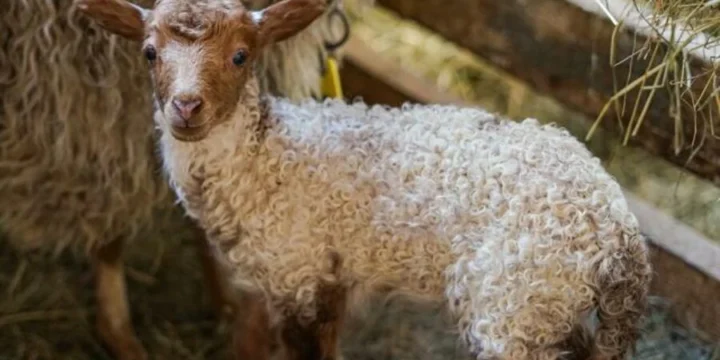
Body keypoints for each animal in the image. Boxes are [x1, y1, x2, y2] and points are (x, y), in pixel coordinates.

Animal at [0, 0, 358, 358]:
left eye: (240, 57)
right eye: (149, 53)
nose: (187, 107)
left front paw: (227, 298)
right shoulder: (93, 108)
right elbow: (112, 225)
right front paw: (119, 331)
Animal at [77, 0, 652, 358]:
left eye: (241, 55)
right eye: (149, 52)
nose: (186, 107)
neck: (265, 162)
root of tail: (620, 233)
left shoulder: (301, 276)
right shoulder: (304, 284)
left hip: (516, 306)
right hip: (553, 308)